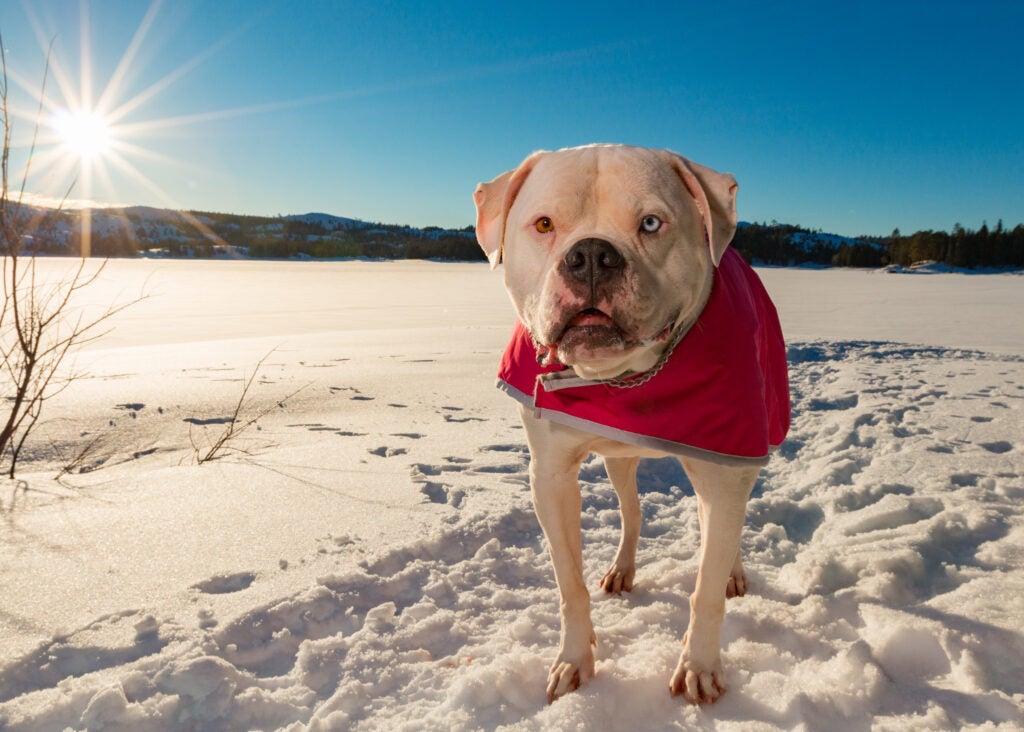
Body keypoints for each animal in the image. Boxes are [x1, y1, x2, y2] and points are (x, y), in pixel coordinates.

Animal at [473, 146, 790, 708]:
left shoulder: (723, 469)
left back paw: (732, 572)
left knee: (724, 531)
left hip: (744, 449)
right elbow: (569, 584)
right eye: (544, 224)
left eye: (650, 223)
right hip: (619, 459)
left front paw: (699, 667)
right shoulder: (550, 477)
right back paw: (622, 567)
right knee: (632, 511)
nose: (591, 255)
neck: (622, 381)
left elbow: (706, 589)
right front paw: (574, 660)